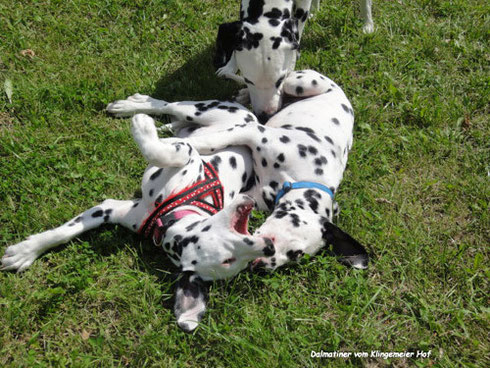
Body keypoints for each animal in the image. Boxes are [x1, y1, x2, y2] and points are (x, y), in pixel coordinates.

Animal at [0, 98, 272, 334]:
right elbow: (65, 231)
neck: (165, 214)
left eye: (236, 261)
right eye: (228, 258)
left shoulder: (111, 208)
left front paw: (26, 251)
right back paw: (132, 107)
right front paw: (27, 250)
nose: (269, 247)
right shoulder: (185, 155)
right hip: (201, 112)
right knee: (167, 105)